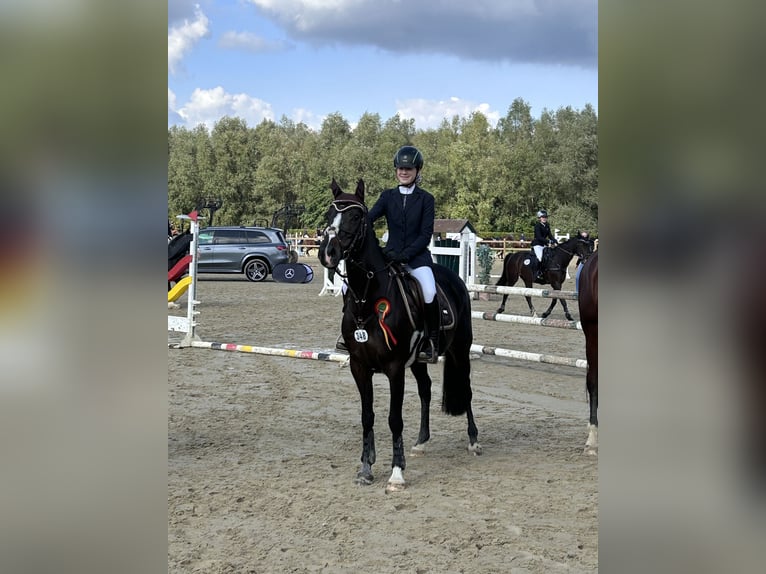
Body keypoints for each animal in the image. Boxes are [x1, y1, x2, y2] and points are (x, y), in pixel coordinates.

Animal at [318, 181, 480, 496]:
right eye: (330, 214)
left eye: (355, 217)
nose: (327, 254)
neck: (367, 299)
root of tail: (453, 278)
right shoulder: (359, 366)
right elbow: (367, 416)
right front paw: (366, 468)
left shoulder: (394, 368)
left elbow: (394, 419)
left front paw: (396, 473)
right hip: (417, 361)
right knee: (426, 389)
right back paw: (421, 442)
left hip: (460, 349)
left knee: (465, 389)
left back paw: (474, 440)